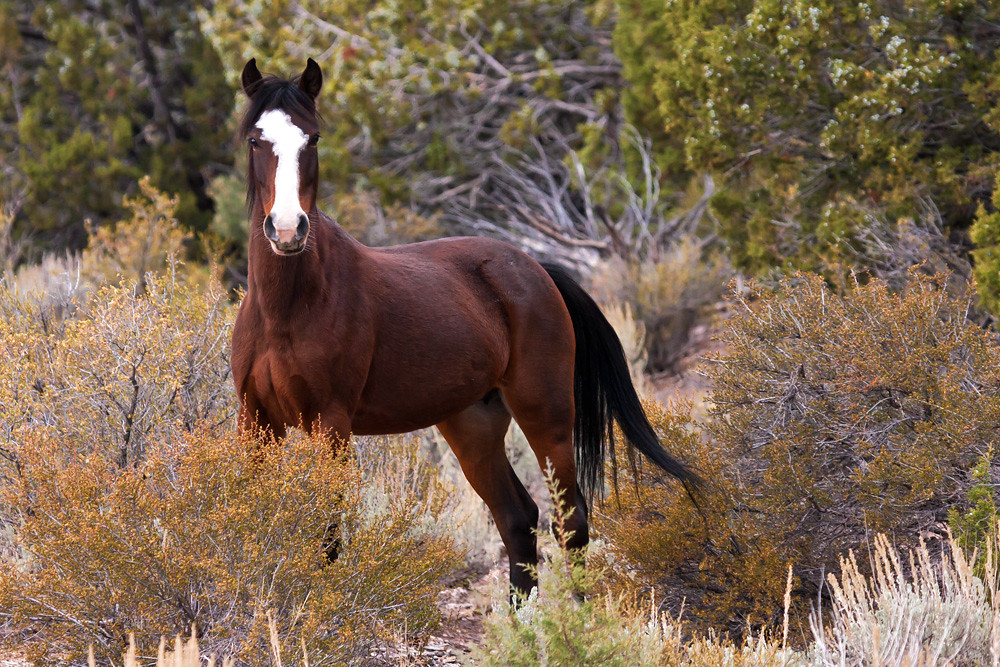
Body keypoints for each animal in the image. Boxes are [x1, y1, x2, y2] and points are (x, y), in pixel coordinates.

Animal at [231, 58, 700, 597]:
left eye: (313, 138)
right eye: (256, 140)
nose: (288, 230)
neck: (288, 308)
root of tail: (536, 269)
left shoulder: (332, 424)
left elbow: (326, 539)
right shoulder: (256, 420)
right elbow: (252, 523)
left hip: (546, 415)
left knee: (571, 520)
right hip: (473, 425)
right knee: (518, 518)